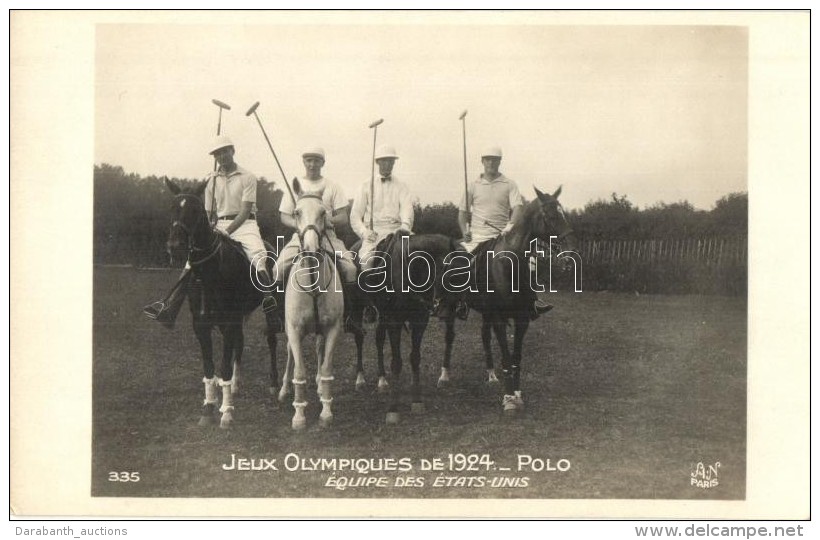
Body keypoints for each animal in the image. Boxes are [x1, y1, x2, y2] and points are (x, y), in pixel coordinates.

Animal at [163, 179, 278, 428]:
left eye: (195, 211)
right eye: (172, 208)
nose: (175, 247)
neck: (210, 271)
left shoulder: (228, 323)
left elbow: (223, 366)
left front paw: (226, 413)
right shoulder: (201, 325)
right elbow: (209, 368)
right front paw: (208, 408)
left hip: (269, 309)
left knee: (271, 340)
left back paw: (274, 384)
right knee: (240, 344)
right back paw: (234, 385)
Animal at [274, 182, 342, 430]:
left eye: (324, 213)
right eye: (296, 212)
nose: (311, 250)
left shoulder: (333, 328)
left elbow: (327, 369)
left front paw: (326, 410)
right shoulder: (294, 329)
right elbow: (299, 371)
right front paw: (299, 415)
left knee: (320, 352)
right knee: (290, 356)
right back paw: (283, 390)